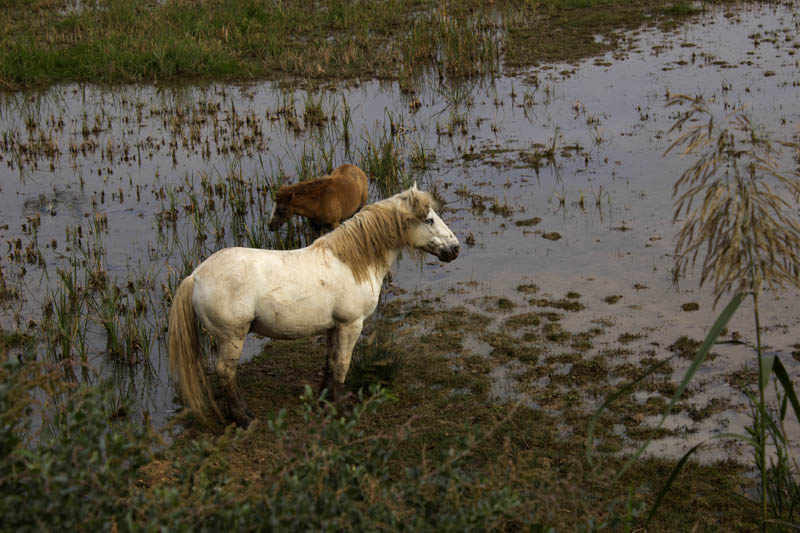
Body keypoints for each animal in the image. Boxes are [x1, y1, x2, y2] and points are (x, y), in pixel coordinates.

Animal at [169, 183, 460, 424]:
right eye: (429, 219)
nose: (455, 248)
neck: (353, 263)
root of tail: (196, 276)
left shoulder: (334, 326)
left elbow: (330, 363)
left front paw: (325, 399)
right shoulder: (351, 325)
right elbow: (342, 364)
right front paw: (341, 407)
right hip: (232, 337)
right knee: (226, 374)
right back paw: (244, 418)